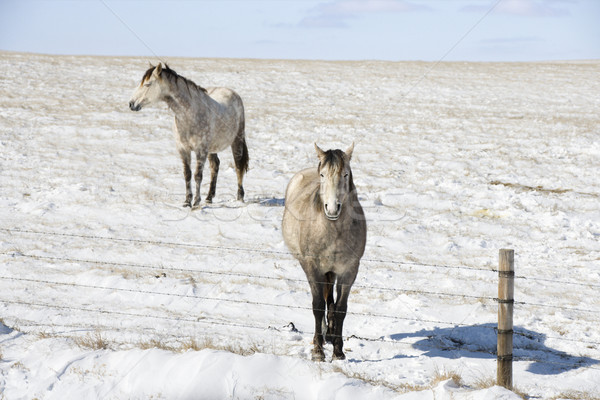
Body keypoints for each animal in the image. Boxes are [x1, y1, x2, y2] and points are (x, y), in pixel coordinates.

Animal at [129, 64, 248, 208]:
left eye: (147, 84)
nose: (131, 104)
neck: (189, 115)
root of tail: (233, 93)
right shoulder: (183, 149)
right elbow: (187, 174)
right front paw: (187, 201)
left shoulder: (200, 150)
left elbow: (198, 175)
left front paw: (196, 202)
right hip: (212, 148)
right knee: (215, 166)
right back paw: (209, 197)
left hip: (237, 140)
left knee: (238, 166)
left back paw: (240, 197)